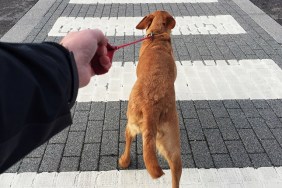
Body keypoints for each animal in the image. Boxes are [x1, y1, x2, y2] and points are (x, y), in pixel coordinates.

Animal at [119, 11, 183, 187]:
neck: (157, 35)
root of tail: (151, 107)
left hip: (131, 120)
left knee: (128, 136)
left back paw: (124, 160)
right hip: (173, 144)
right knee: (175, 172)